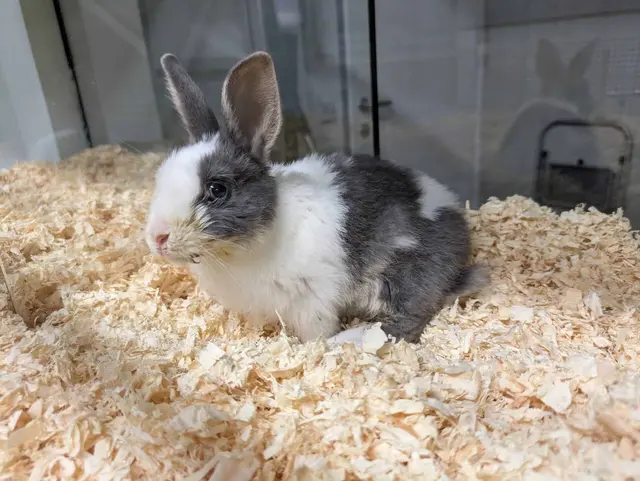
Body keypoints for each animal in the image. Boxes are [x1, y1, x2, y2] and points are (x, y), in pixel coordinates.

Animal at [145, 51, 487, 346]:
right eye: (161, 175)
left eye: (217, 189)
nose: (157, 238)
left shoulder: (312, 299)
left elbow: (317, 333)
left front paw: (317, 347)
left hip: (403, 277)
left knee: (407, 322)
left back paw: (351, 340)